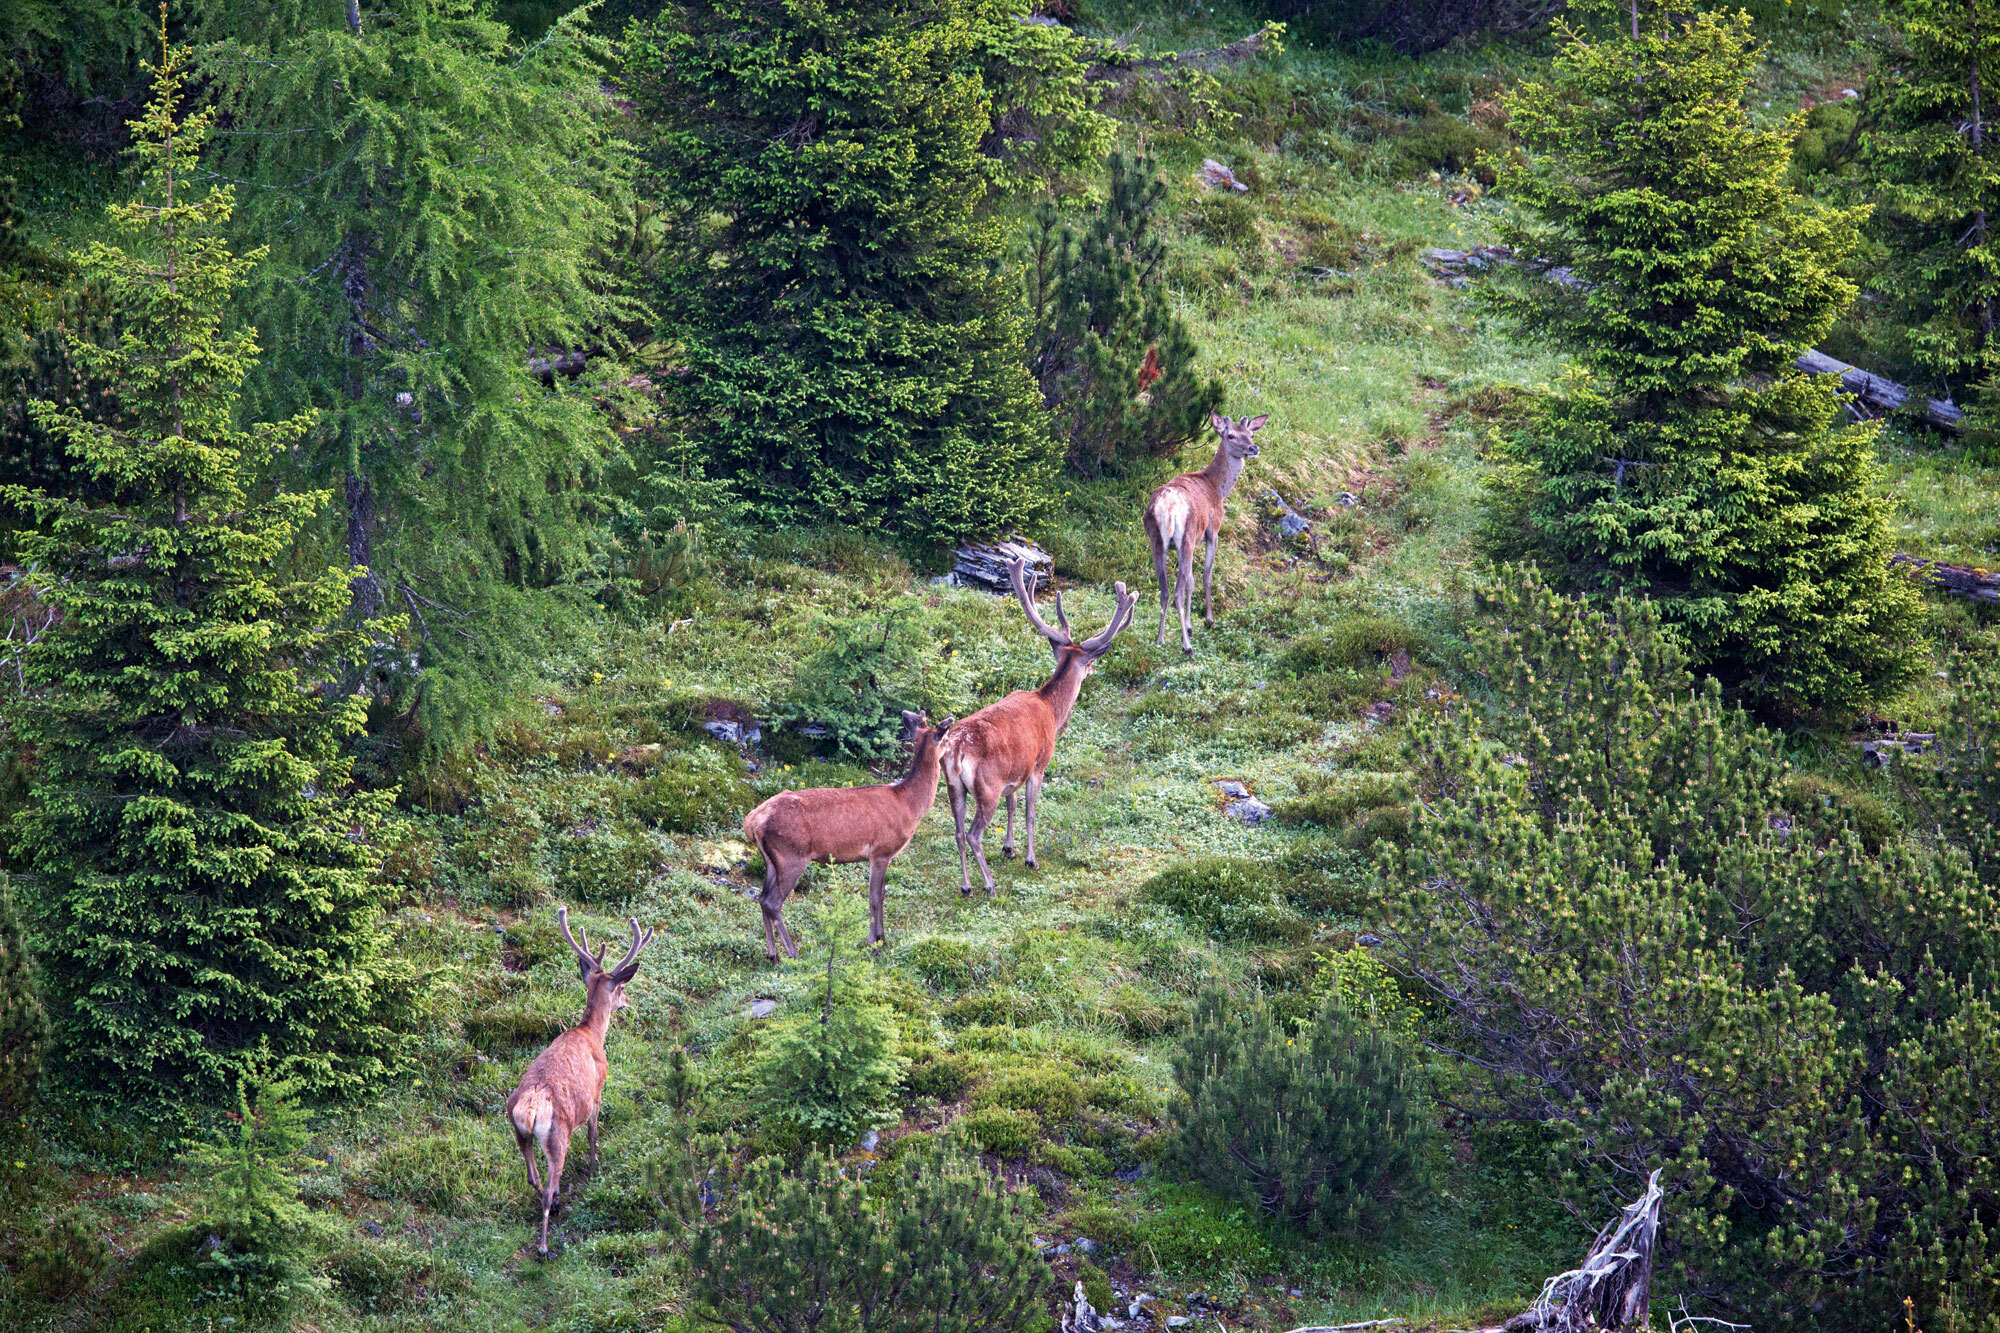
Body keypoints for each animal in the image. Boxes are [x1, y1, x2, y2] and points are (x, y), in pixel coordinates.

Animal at [508, 908, 656, 1248]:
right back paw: (544, 1244)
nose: (626, 1002)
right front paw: (594, 1166)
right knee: (549, 1183)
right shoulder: (597, 1090)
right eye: (621, 988)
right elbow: (592, 1133)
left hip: (519, 1131)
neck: (591, 1034)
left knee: (532, 1177)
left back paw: (556, 1203)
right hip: (557, 1135)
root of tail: (529, 1109)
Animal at [740, 712, 956, 960]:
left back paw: (773, 955)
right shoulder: (881, 851)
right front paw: (875, 942)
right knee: (773, 902)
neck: (909, 805)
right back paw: (793, 953)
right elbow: (875, 898)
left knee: (762, 897)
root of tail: (752, 822)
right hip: (791, 856)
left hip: (771, 860)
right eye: (946, 738)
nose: (954, 747)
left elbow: (881, 895)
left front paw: (880, 938)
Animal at [944, 556, 1136, 896]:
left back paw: (966, 885)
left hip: (954, 787)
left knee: (956, 831)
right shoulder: (1038, 763)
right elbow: (1031, 811)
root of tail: (956, 751)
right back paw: (989, 884)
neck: (1050, 710)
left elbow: (1012, 804)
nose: (1093, 668)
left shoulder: (1013, 774)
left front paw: (1009, 848)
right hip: (986, 787)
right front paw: (1030, 858)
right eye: (1089, 661)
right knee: (973, 834)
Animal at [1144, 408, 1264, 652]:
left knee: (1165, 590)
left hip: (1157, 540)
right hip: (1186, 538)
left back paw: (1160, 638)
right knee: (1177, 591)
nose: (1253, 448)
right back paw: (1187, 645)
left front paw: (1190, 625)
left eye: (1251, 434)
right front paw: (1208, 619)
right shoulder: (1212, 531)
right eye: (1231, 435)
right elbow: (1206, 576)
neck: (1216, 488)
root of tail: (1166, 508)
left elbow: (1190, 581)